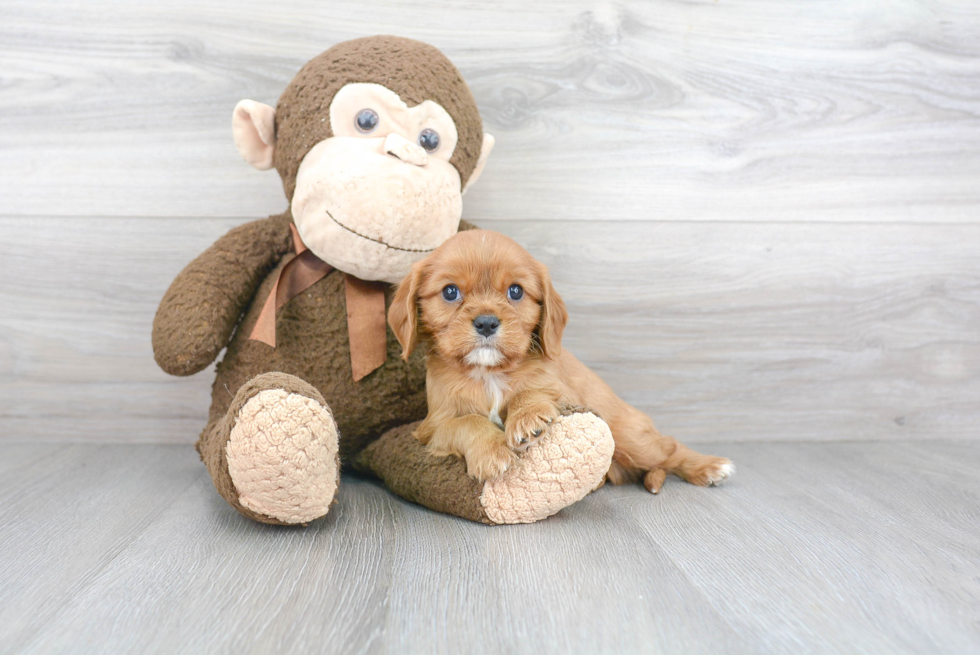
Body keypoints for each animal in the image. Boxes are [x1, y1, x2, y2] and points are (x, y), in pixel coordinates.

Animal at [386, 231, 732, 492]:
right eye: (450, 292)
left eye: (515, 291)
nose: (486, 323)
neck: (490, 373)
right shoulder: (433, 427)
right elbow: (467, 422)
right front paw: (491, 451)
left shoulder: (568, 395)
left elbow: (535, 389)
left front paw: (527, 418)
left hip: (630, 438)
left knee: (668, 448)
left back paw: (711, 466)